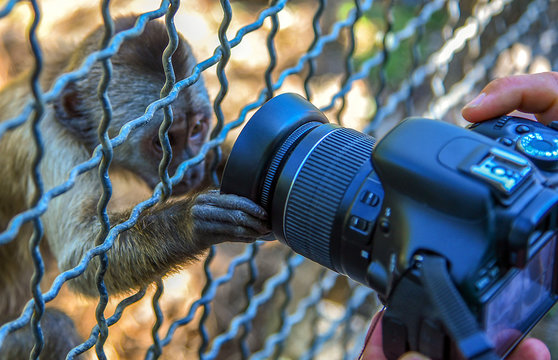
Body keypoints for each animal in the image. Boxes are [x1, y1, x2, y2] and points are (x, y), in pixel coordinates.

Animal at [0, 15, 272, 358]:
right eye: (163, 141)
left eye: (197, 129)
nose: (191, 168)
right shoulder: (50, 140)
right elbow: (80, 255)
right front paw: (193, 222)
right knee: (57, 331)